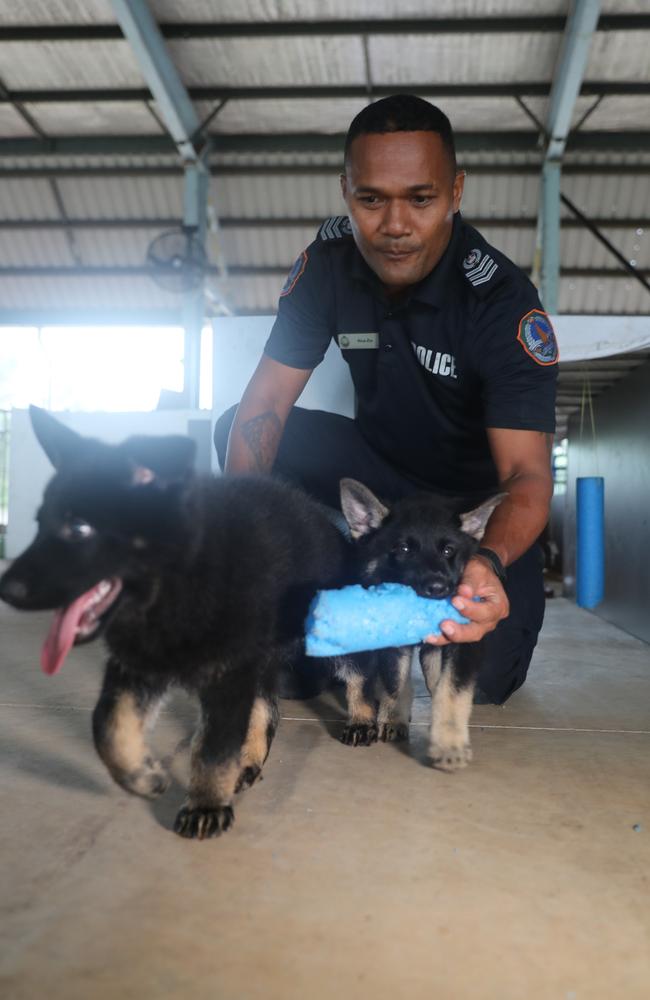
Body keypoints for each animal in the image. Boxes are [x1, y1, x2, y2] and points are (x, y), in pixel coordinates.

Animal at [0, 406, 350, 836]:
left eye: (79, 529)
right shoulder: (137, 666)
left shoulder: (229, 676)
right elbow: (106, 725)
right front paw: (142, 776)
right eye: (39, 524)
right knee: (267, 707)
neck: (175, 585)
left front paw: (206, 804)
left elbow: (214, 748)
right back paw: (249, 761)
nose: (6, 589)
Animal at [334, 480, 502, 768]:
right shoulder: (393, 644)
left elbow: (450, 690)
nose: (437, 588)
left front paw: (448, 743)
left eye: (448, 550)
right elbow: (395, 680)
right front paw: (393, 717)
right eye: (403, 549)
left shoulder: (463, 641)